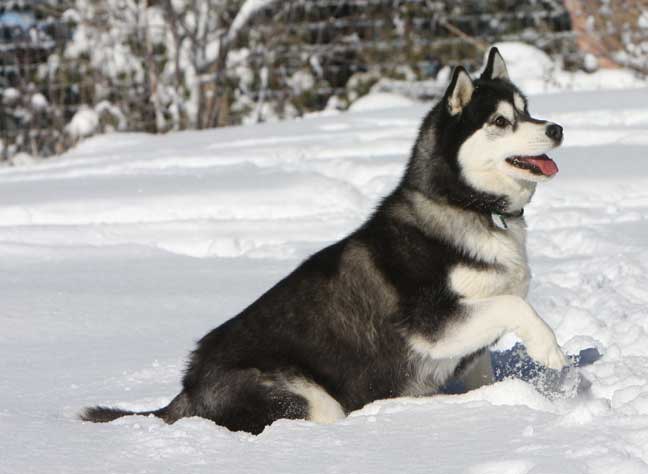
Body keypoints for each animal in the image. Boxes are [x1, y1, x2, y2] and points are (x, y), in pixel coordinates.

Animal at [82, 47, 568, 434]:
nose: (556, 129)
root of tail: (187, 389)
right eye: (501, 121)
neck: (470, 206)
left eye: (527, 109)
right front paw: (551, 349)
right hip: (309, 398)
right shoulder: (431, 323)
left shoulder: (471, 349)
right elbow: (516, 305)